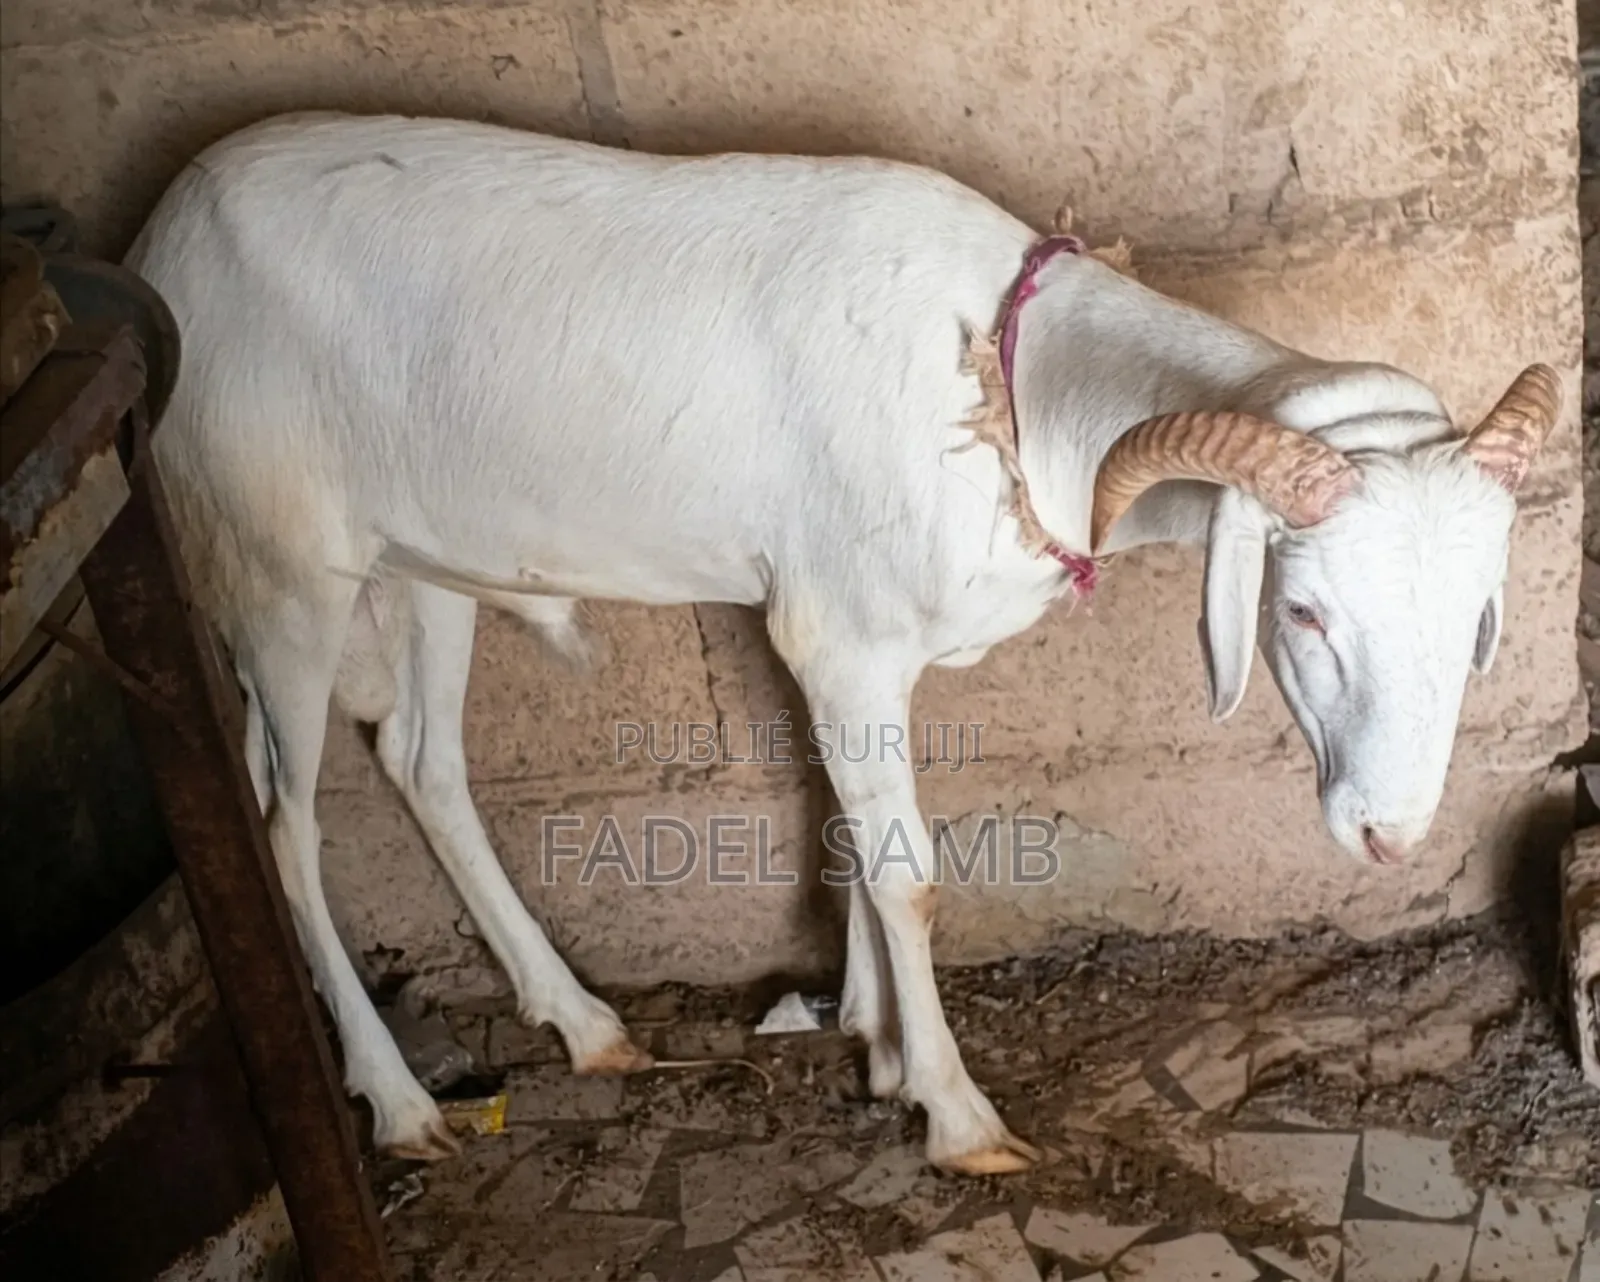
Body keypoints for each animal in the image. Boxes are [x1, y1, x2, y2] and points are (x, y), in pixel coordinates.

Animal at [125, 111, 1558, 1175]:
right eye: (1303, 612)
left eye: (1480, 618)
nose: (1389, 834)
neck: (1009, 385)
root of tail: (159, 233)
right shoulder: (842, 635)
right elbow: (909, 872)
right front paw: (957, 1114)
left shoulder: (846, 645)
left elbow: (858, 845)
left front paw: (870, 1040)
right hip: (276, 564)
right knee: (283, 827)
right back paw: (398, 1100)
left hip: (424, 560)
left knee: (426, 765)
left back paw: (584, 1025)